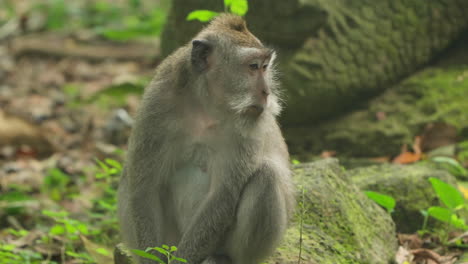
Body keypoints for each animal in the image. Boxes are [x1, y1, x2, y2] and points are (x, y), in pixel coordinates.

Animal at [118, 14, 292, 264]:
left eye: (265, 67)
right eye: (253, 67)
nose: (266, 92)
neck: (205, 104)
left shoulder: (249, 127)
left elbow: (223, 196)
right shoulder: (156, 104)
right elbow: (144, 187)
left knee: (266, 176)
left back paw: (224, 257)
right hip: (170, 239)